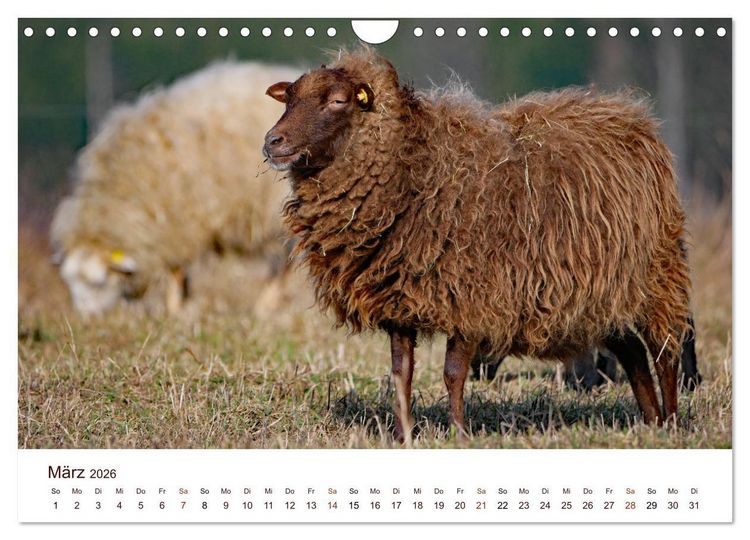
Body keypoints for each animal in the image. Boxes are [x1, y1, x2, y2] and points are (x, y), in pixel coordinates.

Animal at [50, 61, 300, 315]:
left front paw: (174, 307)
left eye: (99, 283)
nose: (87, 318)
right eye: (70, 283)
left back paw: (265, 306)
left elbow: (175, 270)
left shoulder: (178, 221)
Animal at [262, 48, 692, 440]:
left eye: (338, 101)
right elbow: (402, 372)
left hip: (657, 274)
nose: (272, 141)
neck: (415, 168)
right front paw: (403, 434)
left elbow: (453, 373)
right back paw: (652, 422)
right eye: (290, 97)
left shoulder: (474, 294)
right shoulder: (398, 301)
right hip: (605, 293)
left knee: (665, 349)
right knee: (633, 351)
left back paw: (671, 424)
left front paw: (457, 432)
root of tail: (631, 114)